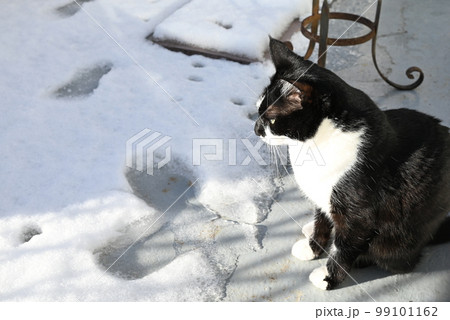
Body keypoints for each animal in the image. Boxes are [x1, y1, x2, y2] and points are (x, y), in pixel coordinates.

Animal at [255, 37, 450, 290]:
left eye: (271, 119)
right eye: (258, 110)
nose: (256, 129)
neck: (313, 146)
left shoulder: (358, 214)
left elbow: (344, 247)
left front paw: (328, 277)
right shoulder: (323, 195)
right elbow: (320, 221)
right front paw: (312, 246)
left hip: (399, 238)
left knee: (397, 260)